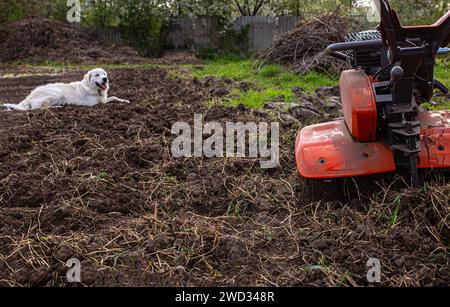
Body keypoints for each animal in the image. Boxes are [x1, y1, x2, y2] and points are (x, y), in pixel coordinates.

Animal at [0, 68, 130, 111]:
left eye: (104, 74)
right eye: (97, 75)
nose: (105, 79)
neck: (92, 87)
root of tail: (30, 95)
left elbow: (115, 97)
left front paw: (125, 101)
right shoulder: (97, 103)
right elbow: (110, 99)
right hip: (57, 94)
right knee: (38, 107)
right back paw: (57, 107)